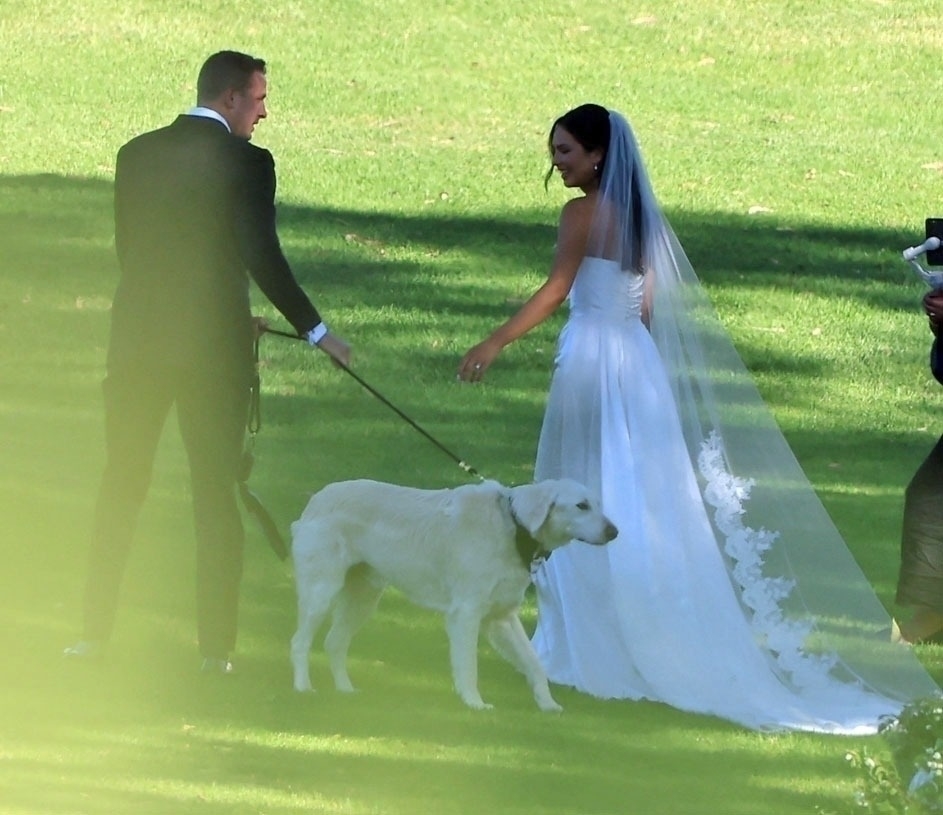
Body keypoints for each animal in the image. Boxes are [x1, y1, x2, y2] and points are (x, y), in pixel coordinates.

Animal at [294, 482, 620, 712]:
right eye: (581, 506)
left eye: (598, 504)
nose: (615, 531)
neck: (513, 526)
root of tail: (315, 499)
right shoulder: (466, 614)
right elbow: (468, 666)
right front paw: (474, 704)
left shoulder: (501, 618)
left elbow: (535, 664)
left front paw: (548, 704)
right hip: (321, 592)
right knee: (300, 642)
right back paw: (303, 689)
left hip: (364, 598)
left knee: (334, 642)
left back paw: (345, 691)